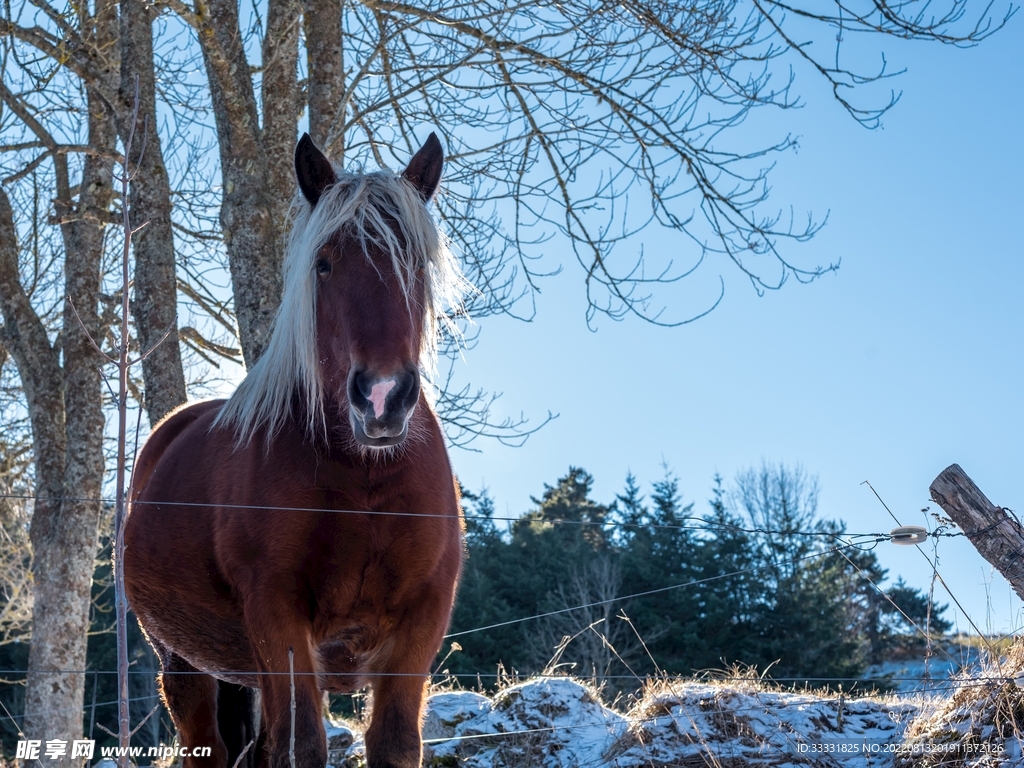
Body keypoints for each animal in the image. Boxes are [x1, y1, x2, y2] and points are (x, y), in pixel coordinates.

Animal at [124, 132, 468, 768]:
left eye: (416, 263)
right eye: (323, 263)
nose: (381, 396)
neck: (364, 478)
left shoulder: (420, 622)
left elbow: (393, 744)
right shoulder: (278, 616)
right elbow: (302, 746)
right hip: (184, 668)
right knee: (207, 745)